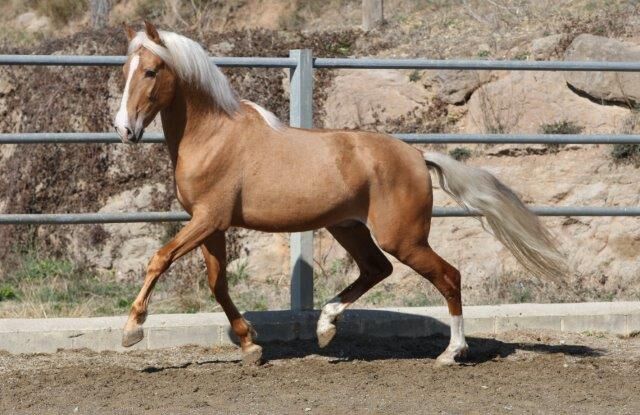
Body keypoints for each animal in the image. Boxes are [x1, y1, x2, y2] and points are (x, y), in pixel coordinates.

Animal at [115, 22, 564, 366]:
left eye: (152, 70)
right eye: (125, 70)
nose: (124, 129)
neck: (213, 136)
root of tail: (417, 156)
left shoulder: (209, 218)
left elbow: (159, 259)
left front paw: (133, 329)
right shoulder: (212, 225)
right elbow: (218, 284)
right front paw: (250, 345)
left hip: (402, 237)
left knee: (448, 275)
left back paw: (451, 353)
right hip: (348, 228)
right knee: (377, 269)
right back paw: (326, 325)